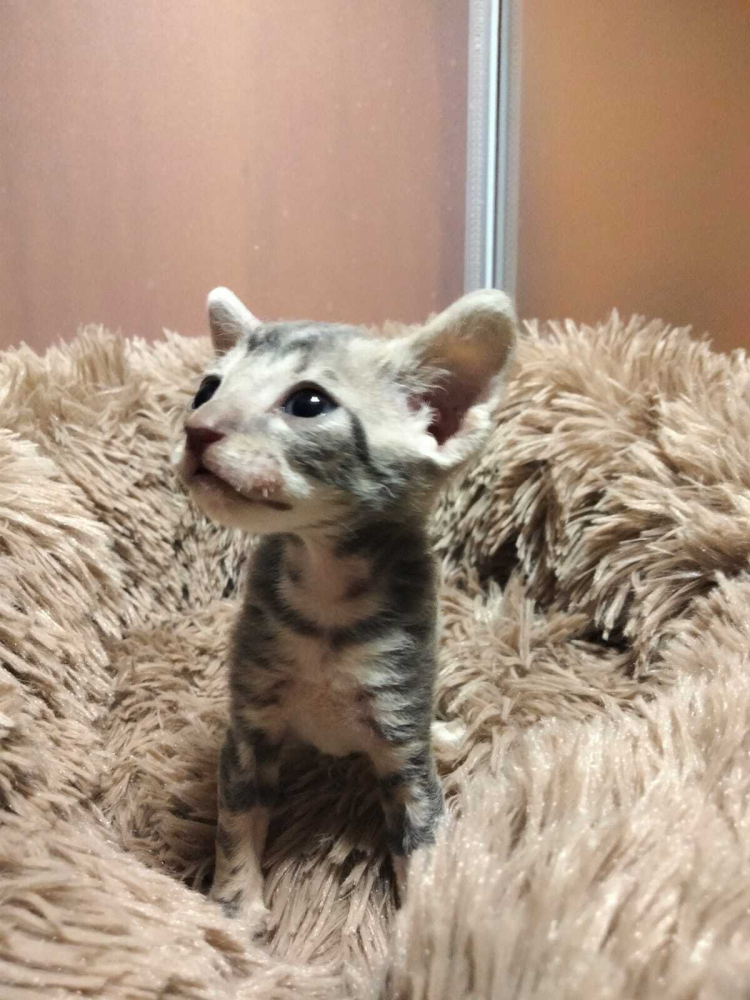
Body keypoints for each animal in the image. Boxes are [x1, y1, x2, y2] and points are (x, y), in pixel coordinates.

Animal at [173, 286, 517, 932]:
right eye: (208, 388)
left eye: (308, 402)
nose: (195, 430)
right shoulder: (250, 727)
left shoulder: (403, 739)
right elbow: (236, 819)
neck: (325, 595)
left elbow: (422, 834)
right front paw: (234, 908)